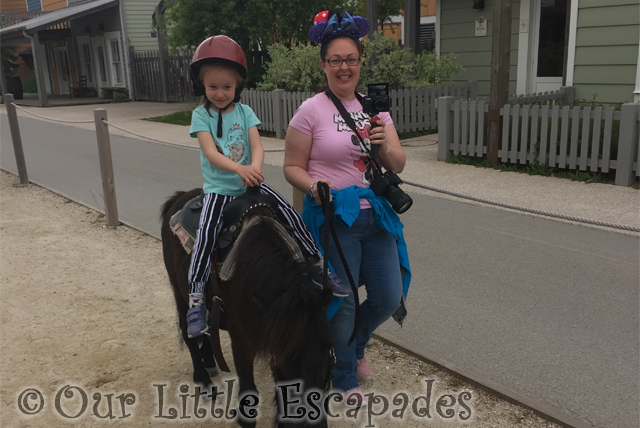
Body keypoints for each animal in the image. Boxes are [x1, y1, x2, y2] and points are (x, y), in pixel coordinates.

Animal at [160, 189, 336, 426]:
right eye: (287, 354)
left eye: (328, 347)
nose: (311, 421)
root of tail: (180, 196)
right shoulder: (242, 341)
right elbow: (249, 391)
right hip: (181, 294)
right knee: (188, 331)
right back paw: (204, 381)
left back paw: (209, 361)